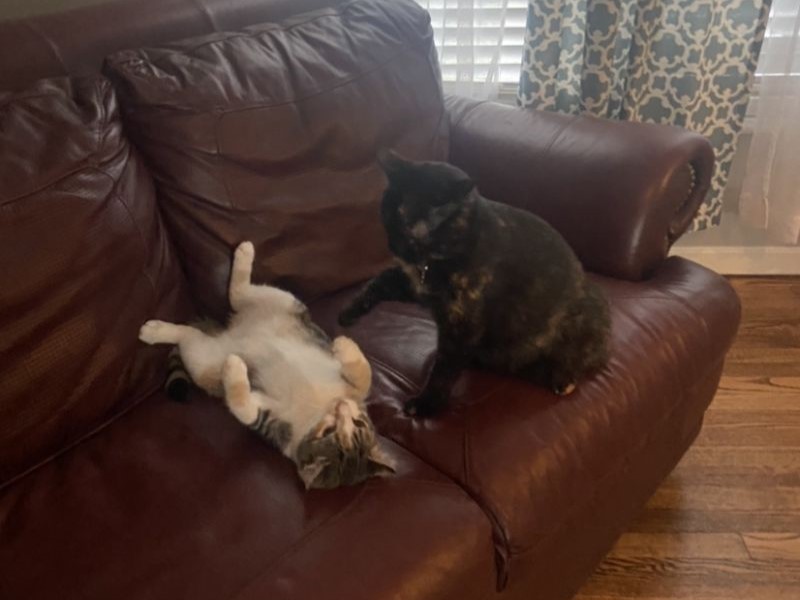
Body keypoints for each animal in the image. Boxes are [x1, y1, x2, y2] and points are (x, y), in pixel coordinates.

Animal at [143, 240, 396, 488]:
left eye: (331, 431)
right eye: (357, 423)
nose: (341, 406)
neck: (318, 410)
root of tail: (232, 332)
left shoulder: (270, 422)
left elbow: (243, 408)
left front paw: (234, 369)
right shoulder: (353, 390)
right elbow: (365, 377)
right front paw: (345, 346)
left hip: (204, 362)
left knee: (191, 334)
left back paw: (158, 331)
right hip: (285, 302)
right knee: (239, 295)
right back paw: (245, 251)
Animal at [340, 151, 612, 418]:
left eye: (402, 224)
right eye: (384, 217)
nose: (392, 246)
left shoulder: (462, 324)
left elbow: (443, 371)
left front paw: (426, 404)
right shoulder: (415, 285)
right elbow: (378, 282)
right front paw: (348, 314)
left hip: (584, 316)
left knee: (575, 361)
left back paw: (562, 379)